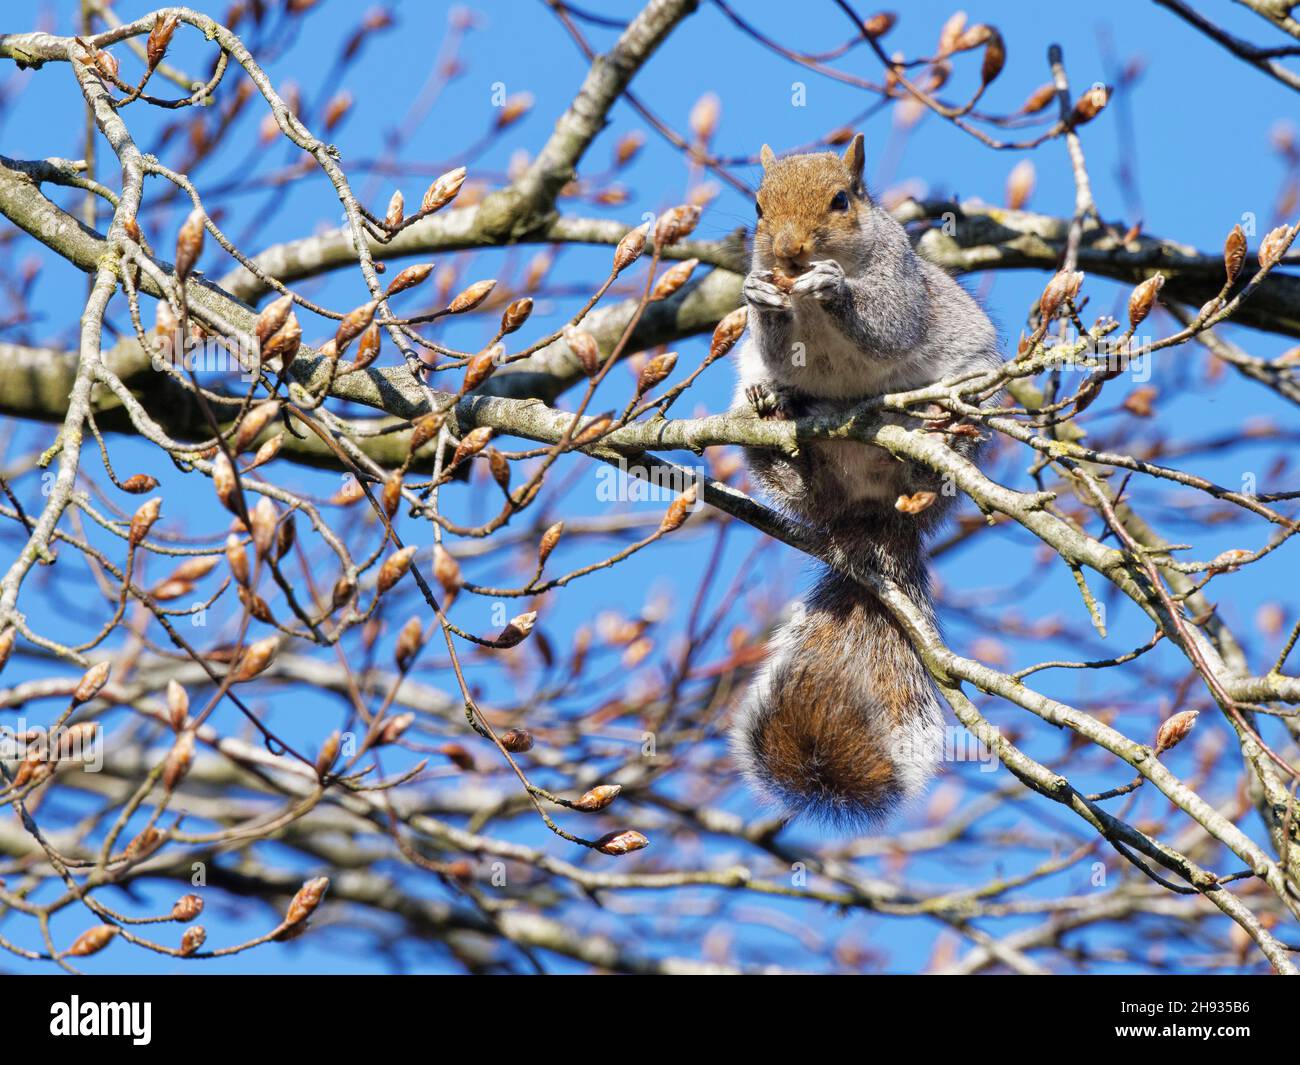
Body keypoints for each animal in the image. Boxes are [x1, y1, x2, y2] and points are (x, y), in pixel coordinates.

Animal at [733, 135, 993, 832]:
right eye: (758, 206)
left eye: (841, 201)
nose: (789, 252)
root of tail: (876, 515)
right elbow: (776, 342)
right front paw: (760, 294)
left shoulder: (899, 285)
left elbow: (886, 324)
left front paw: (835, 290)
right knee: (800, 482)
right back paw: (775, 423)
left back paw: (935, 447)